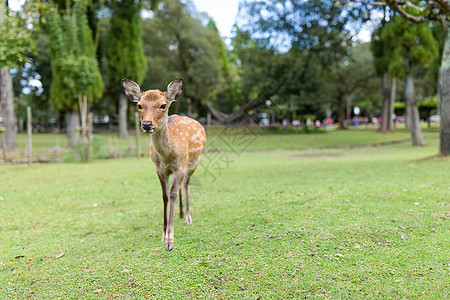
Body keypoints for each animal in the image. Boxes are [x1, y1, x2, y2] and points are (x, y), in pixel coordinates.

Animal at [120, 77, 207, 251]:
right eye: (139, 105)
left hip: (193, 163)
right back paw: (181, 214)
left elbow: (172, 194)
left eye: (163, 105)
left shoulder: (181, 166)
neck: (167, 156)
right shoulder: (159, 169)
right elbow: (165, 196)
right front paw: (163, 235)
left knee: (186, 185)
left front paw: (170, 241)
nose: (147, 124)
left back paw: (187, 217)